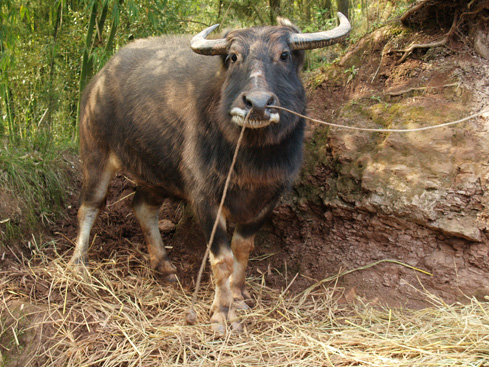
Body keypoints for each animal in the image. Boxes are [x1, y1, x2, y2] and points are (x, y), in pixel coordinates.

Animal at [69, 13, 350, 334]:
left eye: (285, 55)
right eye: (233, 57)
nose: (257, 103)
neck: (250, 156)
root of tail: (99, 78)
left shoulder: (269, 198)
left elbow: (242, 248)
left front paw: (239, 295)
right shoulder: (205, 198)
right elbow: (223, 258)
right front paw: (222, 313)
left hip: (155, 173)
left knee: (142, 207)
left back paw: (164, 266)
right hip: (95, 153)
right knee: (90, 206)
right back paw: (78, 263)